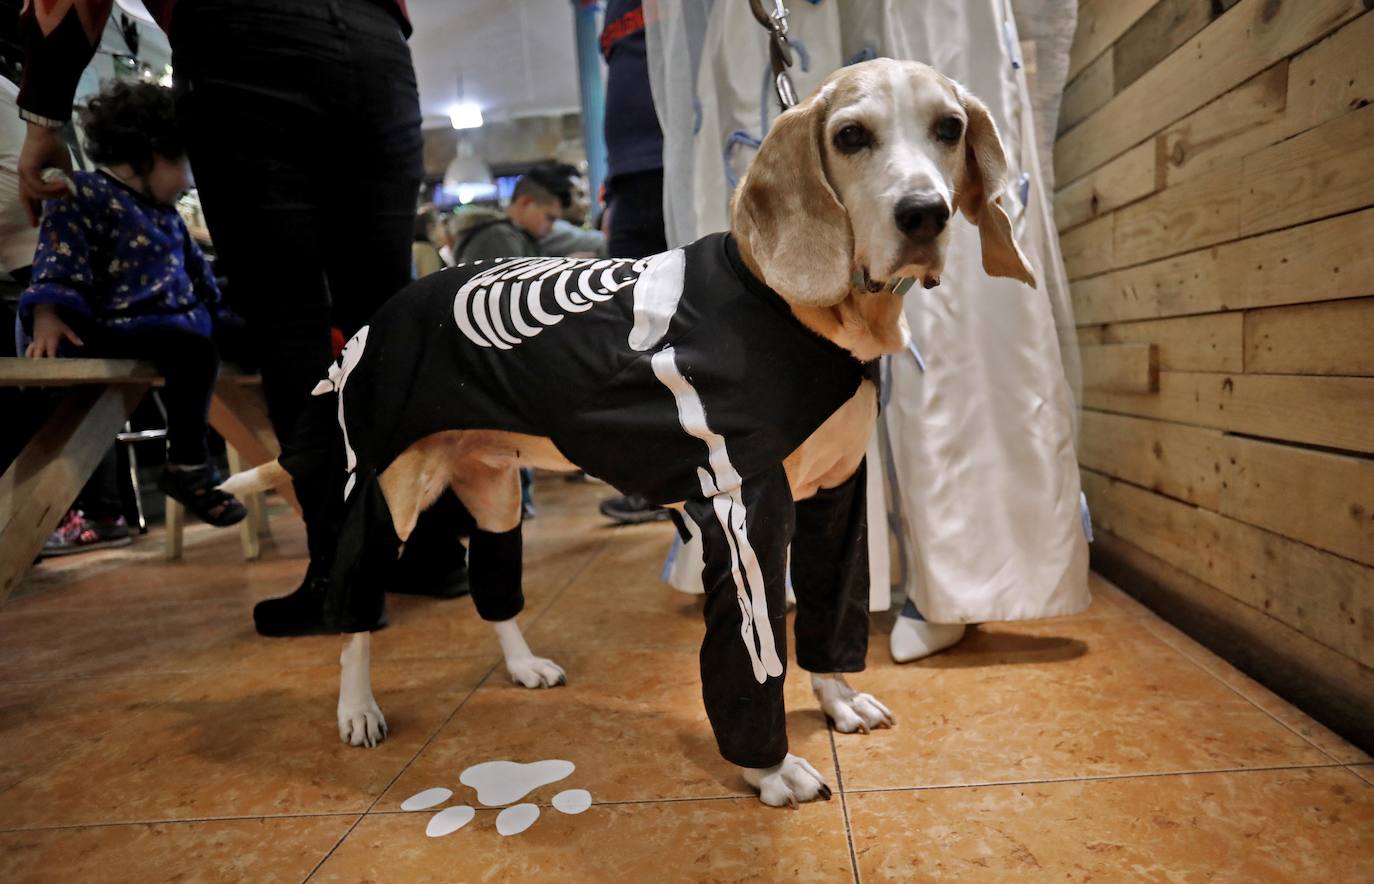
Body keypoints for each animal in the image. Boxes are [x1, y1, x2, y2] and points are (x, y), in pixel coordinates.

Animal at [230, 60, 1033, 808]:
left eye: (949, 129)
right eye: (851, 137)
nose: (924, 214)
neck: (798, 312)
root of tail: (378, 319)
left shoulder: (836, 497)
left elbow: (827, 621)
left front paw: (836, 701)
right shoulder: (744, 515)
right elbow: (754, 658)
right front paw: (769, 769)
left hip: (494, 498)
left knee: (496, 591)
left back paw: (520, 665)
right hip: (386, 495)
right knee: (354, 615)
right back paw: (356, 706)